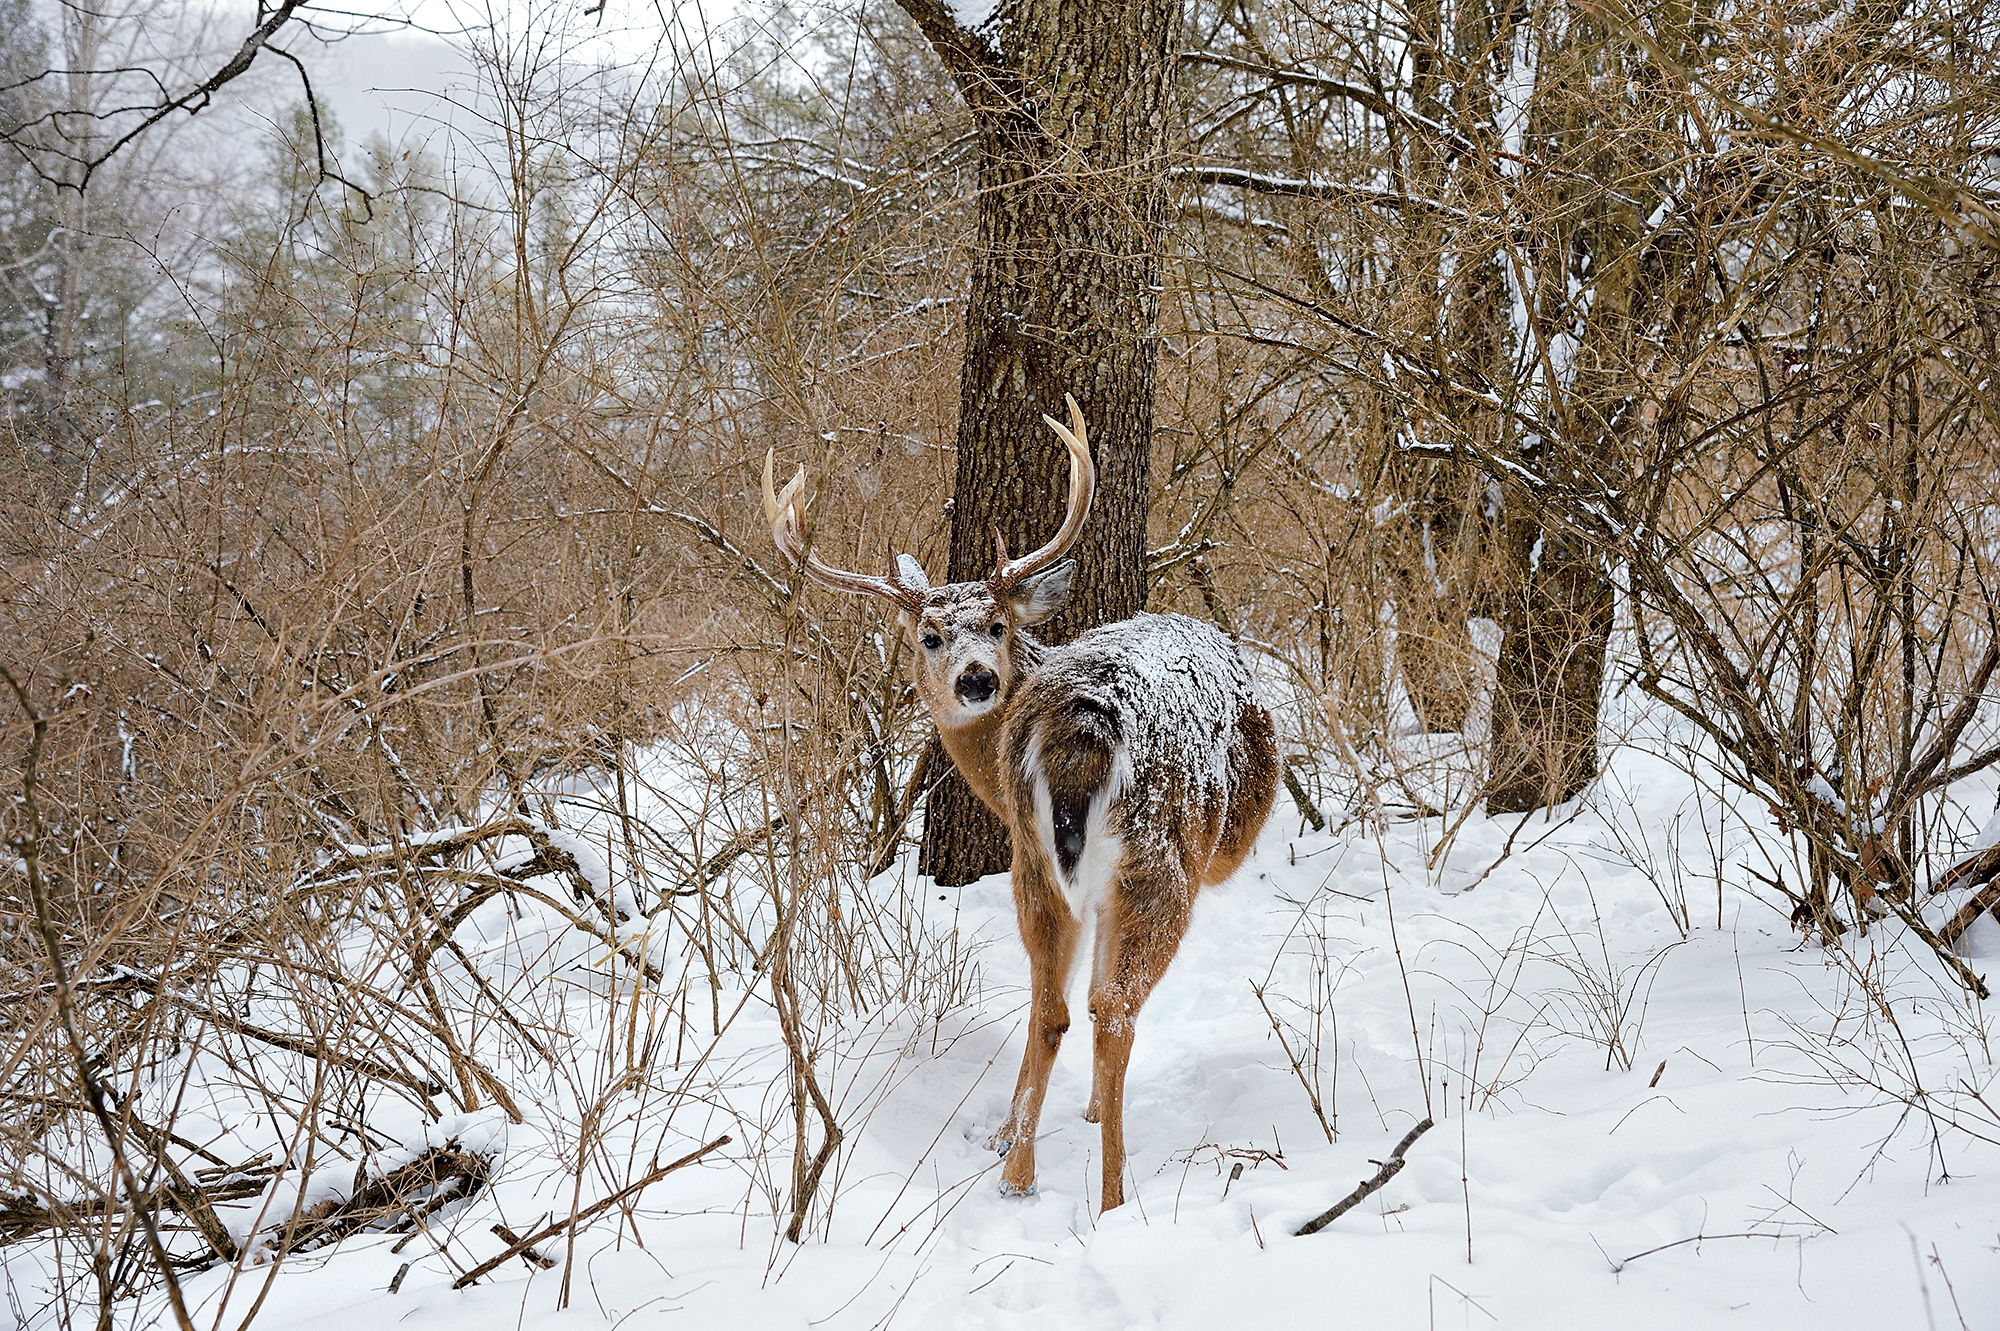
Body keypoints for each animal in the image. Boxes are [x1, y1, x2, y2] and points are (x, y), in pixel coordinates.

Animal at [756, 391, 1272, 1199]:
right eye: (929, 635)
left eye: (996, 624)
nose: (977, 678)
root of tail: (1089, 721)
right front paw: (1055, 1122)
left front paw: (1008, 1136)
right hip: (1160, 859)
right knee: (1107, 1008)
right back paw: (1108, 1196)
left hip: (1049, 857)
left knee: (1061, 1004)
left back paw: (1025, 1172)